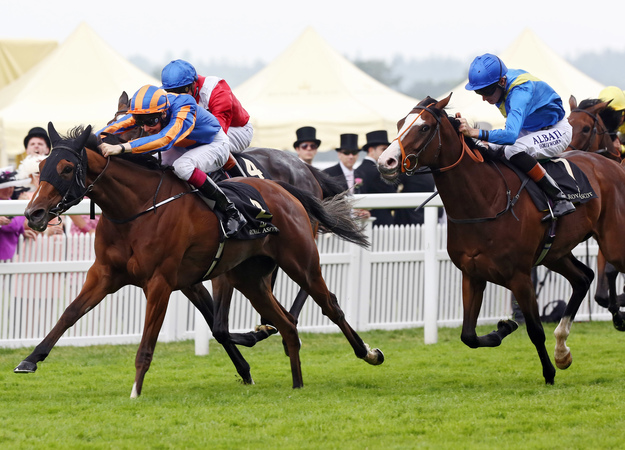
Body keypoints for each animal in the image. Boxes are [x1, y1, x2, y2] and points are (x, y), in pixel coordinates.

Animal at [14, 123, 382, 398]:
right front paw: (30, 360)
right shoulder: (105, 275)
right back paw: (295, 380)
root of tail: (286, 186)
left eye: (65, 168)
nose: (34, 214)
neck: (135, 209)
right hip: (250, 278)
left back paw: (368, 352)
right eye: (40, 166)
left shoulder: (161, 282)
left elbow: (151, 341)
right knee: (287, 323)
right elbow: (69, 314)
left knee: (329, 304)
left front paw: (136, 390)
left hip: (300, 260)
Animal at [378, 94, 625, 384]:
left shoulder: (519, 276)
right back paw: (562, 350)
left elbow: (535, 330)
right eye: (399, 124)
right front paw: (504, 327)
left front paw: (549, 373)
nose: (386, 162)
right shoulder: (472, 274)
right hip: (555, 253)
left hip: (613, 243)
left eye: (424, 127)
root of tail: (613, 164)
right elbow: (468, 336)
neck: (484, 201)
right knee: (583, 278)